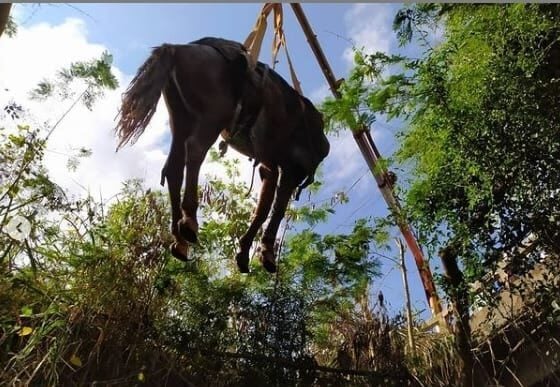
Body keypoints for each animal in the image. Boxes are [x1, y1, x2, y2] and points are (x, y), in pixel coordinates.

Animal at [116, 37, 330, 272]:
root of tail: (178, 49)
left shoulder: (270, 164)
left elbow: (264, 207)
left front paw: (245, 253)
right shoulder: (293, 170)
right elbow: (277, 208)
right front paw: (266, 252)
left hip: (181, 119)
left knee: (173, 168)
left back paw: (179, 239)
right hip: (213, 117)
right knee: (195, 150)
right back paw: (189, 221)